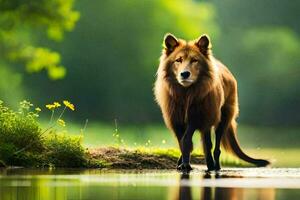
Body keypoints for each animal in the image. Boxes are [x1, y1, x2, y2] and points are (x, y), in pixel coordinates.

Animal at [155, 33, 270, 171]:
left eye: (194, 60)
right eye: (178, 60)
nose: (184, 74)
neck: (186, 94)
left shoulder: (197, 117)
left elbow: (188, 140)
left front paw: (187, 164)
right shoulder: (176, 120)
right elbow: (182, 142)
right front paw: (183, 163)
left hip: (221, 120)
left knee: (215, 147)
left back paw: (214, 166)